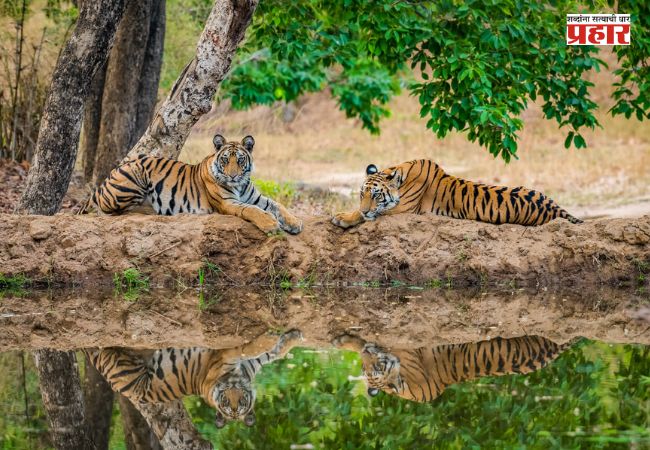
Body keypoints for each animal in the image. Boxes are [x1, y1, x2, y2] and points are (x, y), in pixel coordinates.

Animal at [78, 135, 303, 235]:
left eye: (240, 160)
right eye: (225, 160)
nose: (232, 176)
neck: (239, 185)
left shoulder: (256, 197)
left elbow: (277, 205)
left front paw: (294, 223)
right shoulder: (227, 203)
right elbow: (252, 210)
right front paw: (271, 224)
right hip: (135, 176)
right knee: (109, 211)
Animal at [84, 329, 303, 428]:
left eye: (241, 402)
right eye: (226, 402)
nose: (232, 399)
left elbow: (270, 352)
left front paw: (288, 337)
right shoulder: (223, 358)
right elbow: (255, 349)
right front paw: (276, 336)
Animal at [332, 159, 582, 228]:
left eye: (376, 196)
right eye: (361, 195)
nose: (366, 209)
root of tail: (555, 207)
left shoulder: (403, 209)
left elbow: (364, 214)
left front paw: (341, 217)